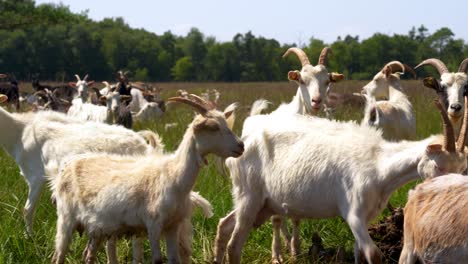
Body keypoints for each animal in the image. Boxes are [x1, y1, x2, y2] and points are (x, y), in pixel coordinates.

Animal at [50, 95, 245, 264]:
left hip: (96, 227)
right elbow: (157, 259)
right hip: (66, 218)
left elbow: (174, 259)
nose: (241, 146)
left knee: (88, 255)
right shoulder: (153, 224)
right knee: (58, 255)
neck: (173, 176)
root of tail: (64, 170)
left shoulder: (172, 226)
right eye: (214, 127)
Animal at [215, 97, 468, 264]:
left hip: (263, 204)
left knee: (224, 225)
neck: (379, 164)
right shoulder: (353, 213)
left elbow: (359, 254)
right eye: (438, 165)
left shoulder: (366, 217)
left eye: (462, 169)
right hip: (249, 196)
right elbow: (373, 254)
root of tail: (244, 141)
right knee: (234, 245)